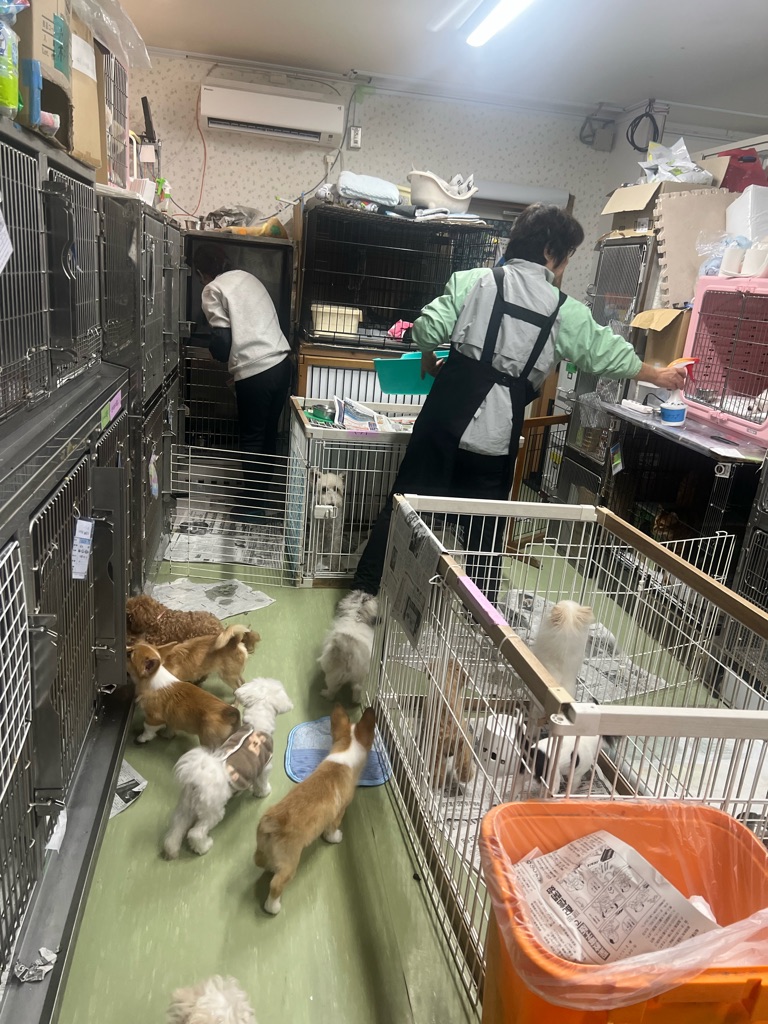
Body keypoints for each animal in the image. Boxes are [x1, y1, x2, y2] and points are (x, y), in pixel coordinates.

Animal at [163, 678, 293, 859]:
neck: (257, 725)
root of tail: (198, 777)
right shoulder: (264, 766)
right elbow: (262, 783)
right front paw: (263, 792)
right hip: (212, 811)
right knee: (195, 833)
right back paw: (203, 847)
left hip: (185, 806)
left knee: (177, 827)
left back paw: (172, 850)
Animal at [254, 704, 375, 915]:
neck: (346, 752)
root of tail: (272, 823)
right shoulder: (338, 813)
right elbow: (333, 829)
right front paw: (335, 838)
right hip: (290, 864)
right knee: (276, 885)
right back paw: (273, 907)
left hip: (262, 848)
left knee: (260, 860)